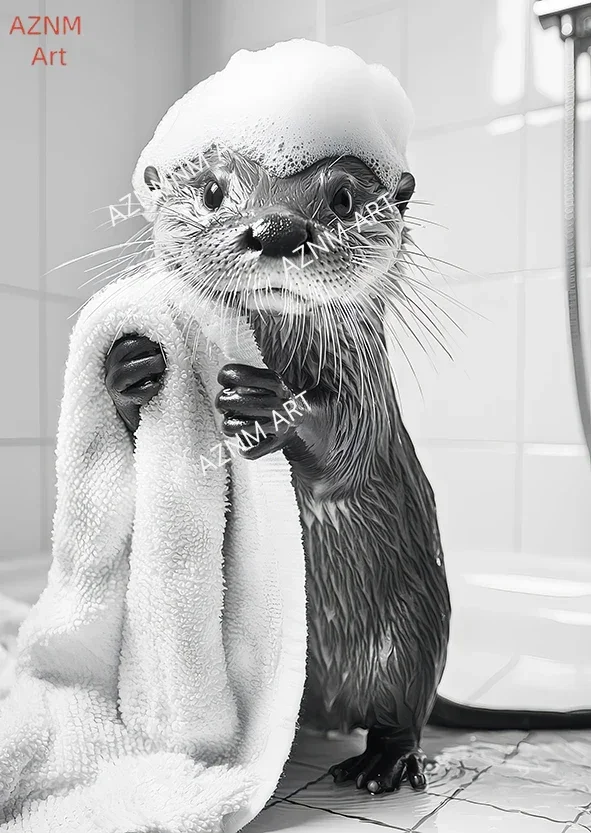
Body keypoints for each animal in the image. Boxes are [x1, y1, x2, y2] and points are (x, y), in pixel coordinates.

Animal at [104, 145, 451, 795]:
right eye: (212, 192)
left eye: (343, 198)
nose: (278, 230)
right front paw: (130, 365)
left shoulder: (370, 394)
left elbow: (345, 447)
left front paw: (269, 402)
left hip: (413, 634)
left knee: (404, 712)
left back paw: (382, 764)